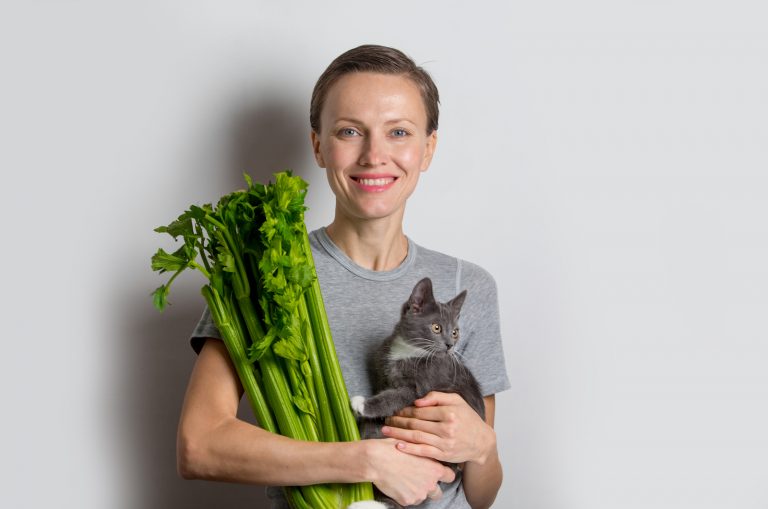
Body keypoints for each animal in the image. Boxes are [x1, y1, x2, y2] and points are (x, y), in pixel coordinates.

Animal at [350, 278, 486, 508]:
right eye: (436, 327)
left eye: (455, 332)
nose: (450, 345)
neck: (408, 352)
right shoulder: (382, 370)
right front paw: (369, 419)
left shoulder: (421, 388)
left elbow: (394, 397)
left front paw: (363, 404)